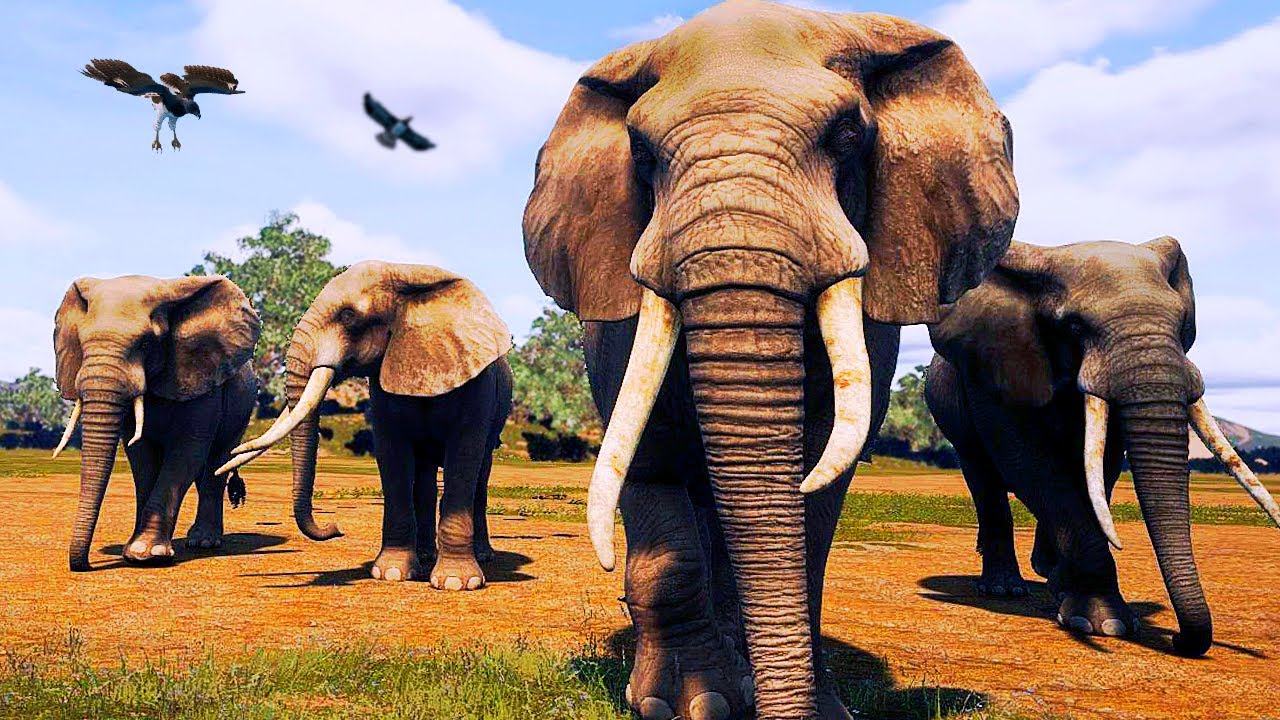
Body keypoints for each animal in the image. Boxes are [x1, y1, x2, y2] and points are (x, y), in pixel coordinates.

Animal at [52, 274, 260, 571]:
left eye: (146, 344)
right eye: (81, 343)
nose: (86, 565)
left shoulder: (199, 379)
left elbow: (186, 453)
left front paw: (146, 553)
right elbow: (141, 456)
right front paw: (132, 551)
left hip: (242, 406)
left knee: (216, 462)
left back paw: (204, 542)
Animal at [219, 260, 514, 590]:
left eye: (348, 316)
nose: (335, 527)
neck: (410, 276)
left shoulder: (477, 385)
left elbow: (464, 457)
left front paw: (456, 583)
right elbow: (392, 455)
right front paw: (392, 574)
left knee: (480, 476)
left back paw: (483, 555)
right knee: (425, 477)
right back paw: (426, 556)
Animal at [522, 2, 1018, 717]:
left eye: (847, 134)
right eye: (641, 153)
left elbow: (822, 466)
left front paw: (821, 708)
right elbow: (649, 453)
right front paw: (691, 704)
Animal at [925, 238, 1280, 656]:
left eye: (1182, 324)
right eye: (1075, 325)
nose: (1179, 639)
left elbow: (1101, 468)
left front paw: (1070, 594)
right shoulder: (994, 371)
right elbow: (1029, 464)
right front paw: (1103, 624)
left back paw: (1050, 576)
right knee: (984, 478)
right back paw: (1004, 589)